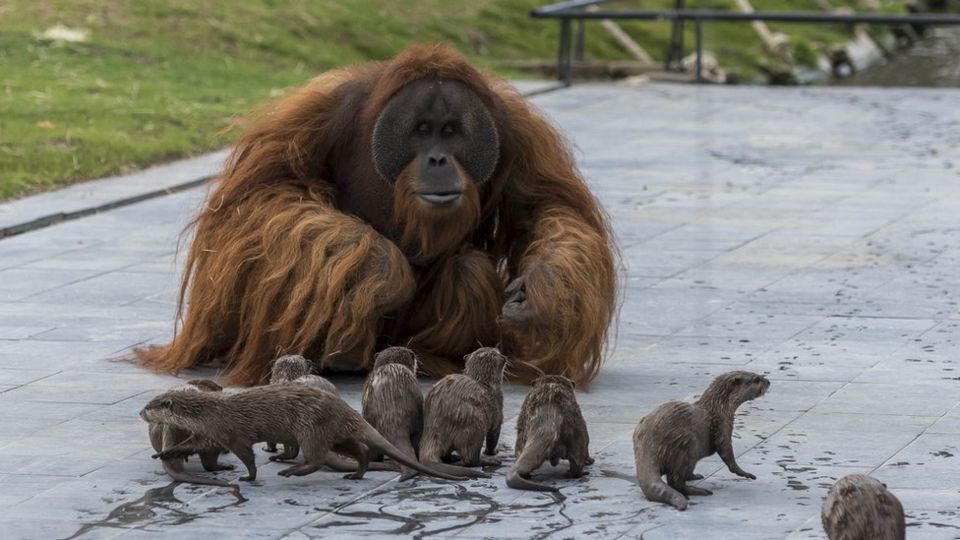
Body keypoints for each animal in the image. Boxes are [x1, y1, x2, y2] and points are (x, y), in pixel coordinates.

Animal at [140, 384, 464, 480]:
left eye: (150, 405)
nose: (140, 412)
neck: (209, 413)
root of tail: (344, 409)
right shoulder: (209, 433)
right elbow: (188, 445)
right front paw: (163, 454)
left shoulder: (231, 434)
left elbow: (247, 457)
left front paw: (249, 477)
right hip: (335, 434)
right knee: (357, 449)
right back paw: (356, 474)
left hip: (310, 427)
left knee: (317, 458)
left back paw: (292, 471)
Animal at [420, 346, 510, 476]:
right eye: (497, 352)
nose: (504, 356)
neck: (487, 384)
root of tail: (434, 430)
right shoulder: (498, 408)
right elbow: (493, 435)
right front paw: (492, 452)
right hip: (475, 426)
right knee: (470, 459)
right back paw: (490, 461)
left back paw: (454, 458)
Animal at [632, 370, 768, 512]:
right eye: (756, 379)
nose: (768, 382)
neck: (720, 408)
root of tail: (649, 443)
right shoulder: (722, 428)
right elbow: (727, 453)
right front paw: (743, 472)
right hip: (685, 443)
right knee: (675, 480)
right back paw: (698, 491)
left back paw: (693, 477)